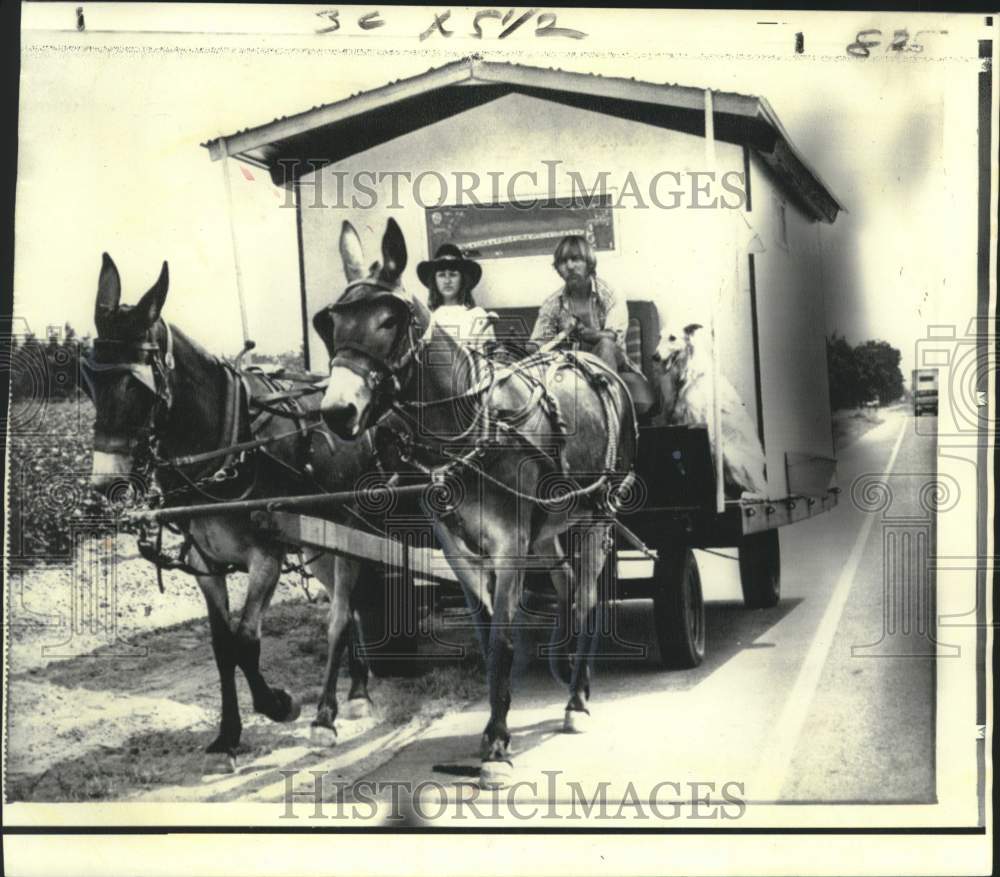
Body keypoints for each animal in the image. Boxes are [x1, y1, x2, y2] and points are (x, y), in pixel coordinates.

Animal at [652, 324, 768, 500]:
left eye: (672, 338)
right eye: (659, 337)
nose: (654, 357)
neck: (687, 375)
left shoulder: (698, 422)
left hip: (728, 453)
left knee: (764, 492)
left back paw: (745, 495)